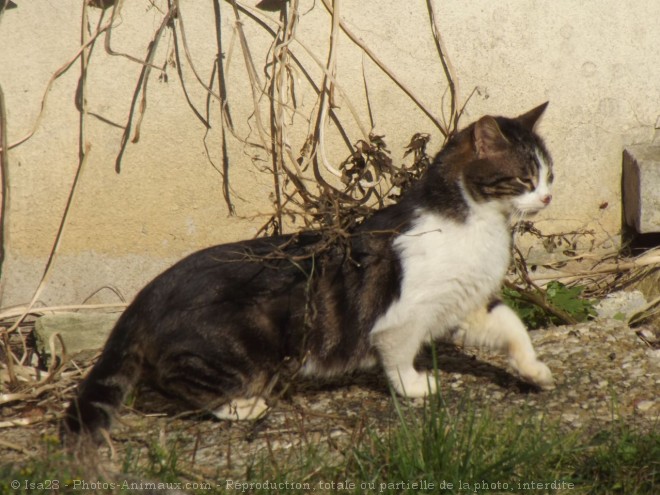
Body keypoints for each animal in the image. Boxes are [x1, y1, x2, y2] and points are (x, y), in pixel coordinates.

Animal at [63, 102, 556, 440]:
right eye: (525, 178)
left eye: (550, 175)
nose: (549, 197)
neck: (475, 223)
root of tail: (150, 292)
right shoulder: (403, 316)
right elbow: (398, 356)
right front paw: (415, 388)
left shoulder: (465, 304)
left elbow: (511, 326)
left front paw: (533, 370)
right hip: (241, 348)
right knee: (175, 377)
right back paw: (241, 408)